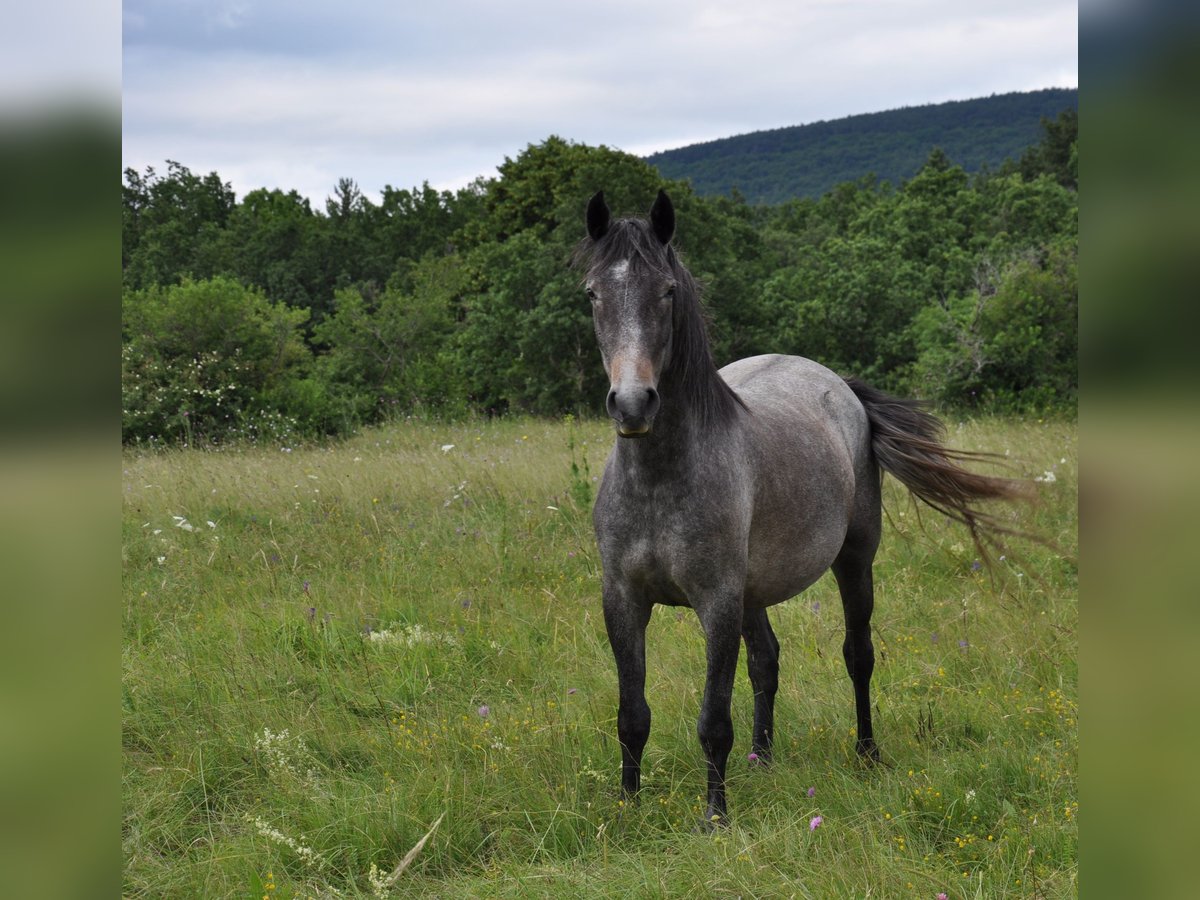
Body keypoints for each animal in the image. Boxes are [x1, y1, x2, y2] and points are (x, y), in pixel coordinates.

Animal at [576, 192, 1027, 830]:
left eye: (665, 291)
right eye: (593, 293)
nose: (633, 404)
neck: (659, 481)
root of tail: (839, 385)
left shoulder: (717, 602)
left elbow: (713, 720)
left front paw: (715, 817)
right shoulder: (623, 599)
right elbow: (632, 713)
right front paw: (627, 808)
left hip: (853, 561)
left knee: (858, 656)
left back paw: (866, 753)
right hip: (754, 591)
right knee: (766, 662)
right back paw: (762, 760)